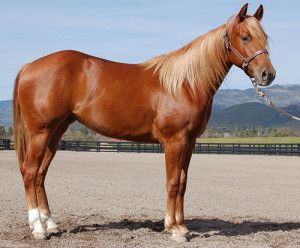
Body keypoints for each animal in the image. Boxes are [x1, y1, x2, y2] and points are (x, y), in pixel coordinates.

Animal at [14, 3, 276, 242]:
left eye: (264, 38)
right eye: (245, 37)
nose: (268, 74)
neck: (185, 84)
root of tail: (29, 66)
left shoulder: (189, 142)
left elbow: (183, 182)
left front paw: (181, 226)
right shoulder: (174, 141)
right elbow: (172, 182)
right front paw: (174, 229)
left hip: (56, 133)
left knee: (40, 174)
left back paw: (50, 224)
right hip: (40, 132)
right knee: (29, 172)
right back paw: (38, 228)